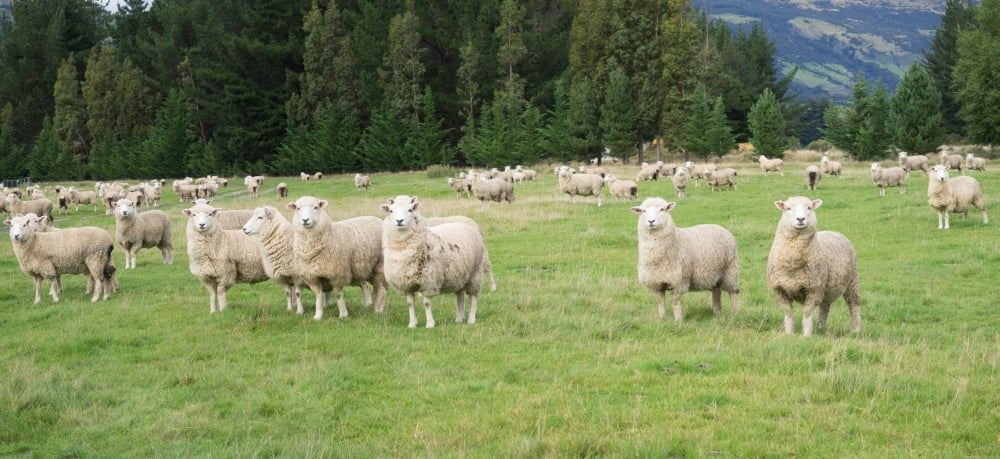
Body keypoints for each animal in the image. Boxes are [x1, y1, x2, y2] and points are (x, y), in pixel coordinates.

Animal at [381, 195, 496, 328]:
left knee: (473, 297)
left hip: (475, 274)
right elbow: (410, 303)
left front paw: (430, 324)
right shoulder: (406, 283)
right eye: (391, 211)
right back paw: (459, 318)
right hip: (460, 275)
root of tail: (469, 225)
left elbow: (426, 303)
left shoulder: (428, 281)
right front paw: (412, 323)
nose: (399, 221)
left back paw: (471, 319)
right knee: (460, 297)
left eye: (410, 210)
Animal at [767, 197, 860, 337]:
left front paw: (806, 335)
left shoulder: (814, 289)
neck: (792, 265)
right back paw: (821, 328)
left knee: (853, 304)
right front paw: (789, 333)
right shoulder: (779, 289)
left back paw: (856, 330)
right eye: (788, 208)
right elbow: (788, 312)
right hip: (827, 289)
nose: (800, 219)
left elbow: (807, 313)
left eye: (809, 207)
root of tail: (834, 231)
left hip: (852, 281)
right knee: (825, 306)